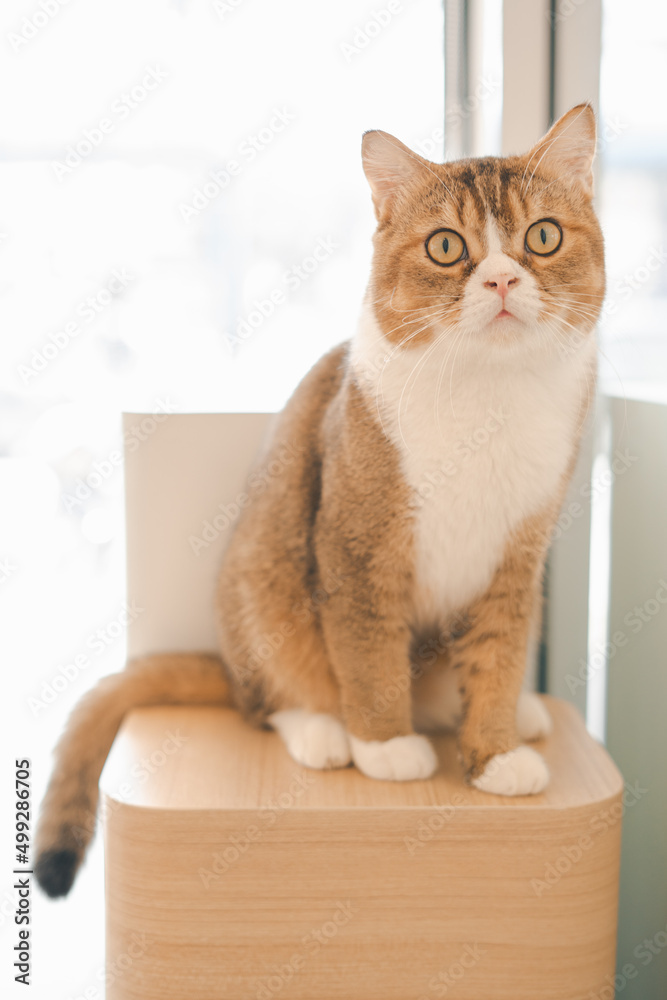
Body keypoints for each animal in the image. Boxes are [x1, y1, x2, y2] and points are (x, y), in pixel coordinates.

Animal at [35, 103, 604, 900]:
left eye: (543, 236)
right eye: (446, 245)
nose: (498, 279)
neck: (486, 399)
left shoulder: (517, 558)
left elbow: (497, 654)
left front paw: (491, 751)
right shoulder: (356, 546)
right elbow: (367, 652)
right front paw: (386, 745)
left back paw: (513, 714)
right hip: (261, 584)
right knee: (270, 701)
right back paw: (323, 731)